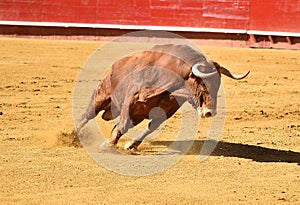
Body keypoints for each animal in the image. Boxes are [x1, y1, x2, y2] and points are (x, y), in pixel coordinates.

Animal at [76, 44, 250, 151]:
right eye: (202, 84)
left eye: (218, 84)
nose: (209, 112)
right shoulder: (130, 101)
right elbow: (123, 125)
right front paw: (108, 144)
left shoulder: (165, 112)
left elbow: (149, 128)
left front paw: (131, 145)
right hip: (101, 96)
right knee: (87, 115)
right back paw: (74, 134)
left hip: (136, 115)